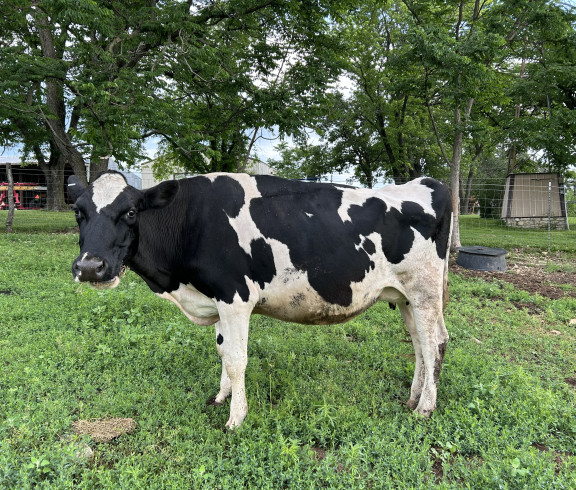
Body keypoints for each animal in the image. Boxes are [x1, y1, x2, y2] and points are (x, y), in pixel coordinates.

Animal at [67, 171, 452, 428]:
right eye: (78, 212)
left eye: (131, 211)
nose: (90, 267)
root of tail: (429, 182)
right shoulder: (216, 300)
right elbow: (223, 352)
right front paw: (221, 397)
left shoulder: (234, 297)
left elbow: (238, 360)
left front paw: (235, 418)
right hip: (405, 296)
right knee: (421, 343)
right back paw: (413, 397)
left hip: (425, 290)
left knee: (432, 343)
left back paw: (425, 408)